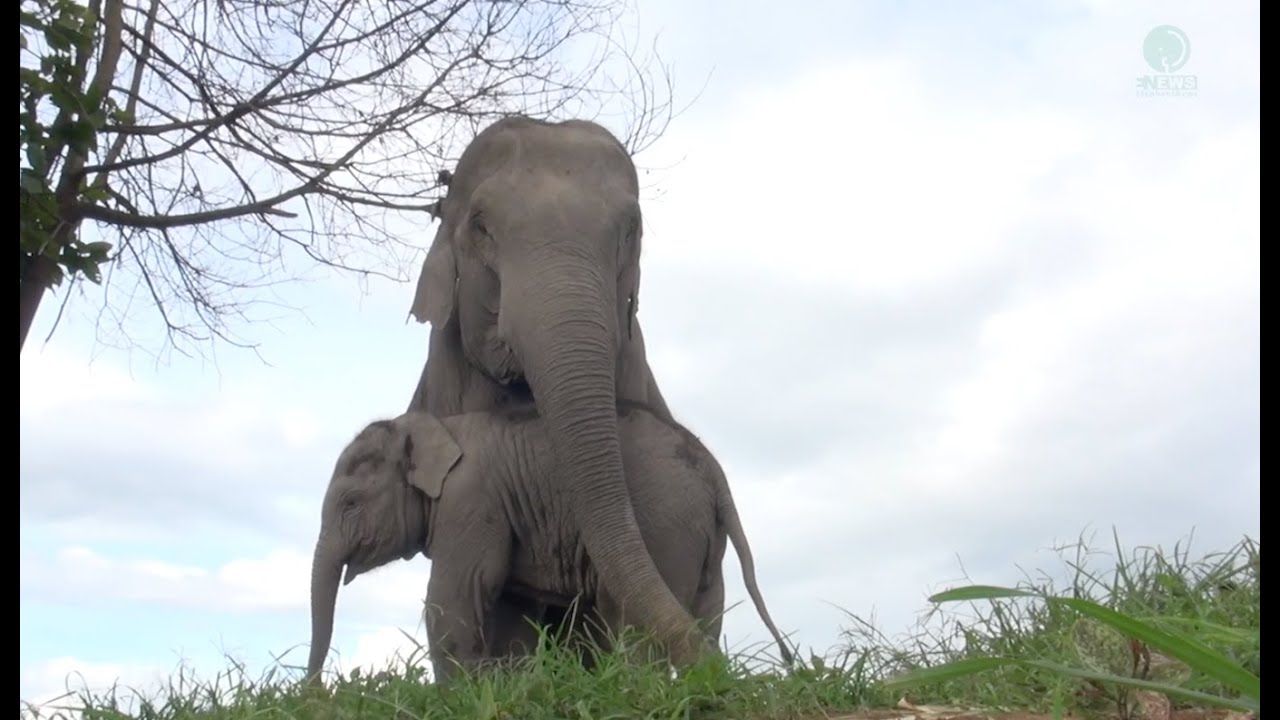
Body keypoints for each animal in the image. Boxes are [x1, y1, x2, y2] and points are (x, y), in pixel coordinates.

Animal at [306, 400, 793, 683]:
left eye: (350, 503)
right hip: (702, 534)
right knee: (707, 612)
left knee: (633, 622)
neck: (433, 427)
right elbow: (511, 609)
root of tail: (712, 467)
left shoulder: (471, 501)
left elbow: (454, 598)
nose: (312, 691)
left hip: (663, 523)